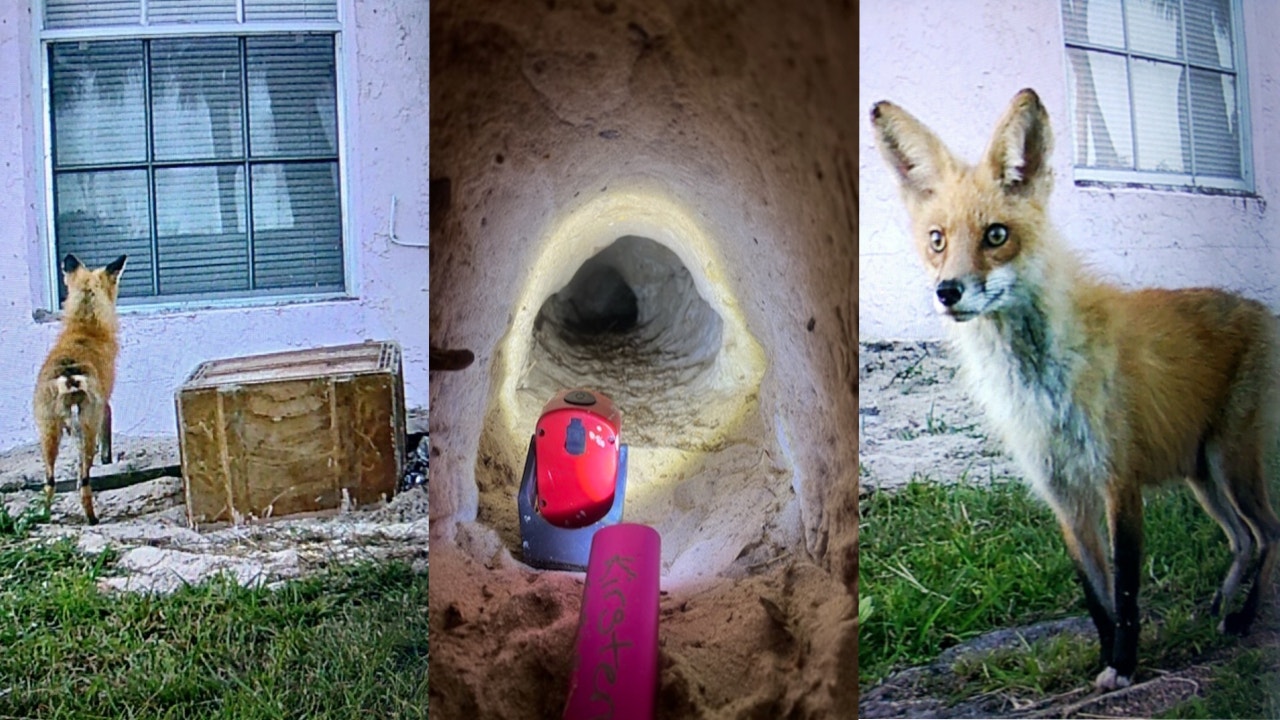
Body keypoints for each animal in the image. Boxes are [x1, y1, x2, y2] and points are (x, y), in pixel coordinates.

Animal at [34, 253, 127, 526]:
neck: (84, 328)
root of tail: (69, 373)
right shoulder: (104, 406)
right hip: (87, 425)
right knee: (85, 480)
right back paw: (92, 518)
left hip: (47, 431)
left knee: (49, 481)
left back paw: (44, 516)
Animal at [871, 88, 1280, 691]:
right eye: (937, 240)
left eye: (996, 235)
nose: (948, 292)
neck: (1039, 387)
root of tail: (1260, 309)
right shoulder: (1062, 493)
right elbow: (1096, 596)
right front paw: (1107, 657)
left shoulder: (1117, 479)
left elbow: (1127, 590)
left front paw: (1125, 666)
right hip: (1201, 473)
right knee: (1244, 538)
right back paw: (1218, 608)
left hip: (1230, 463)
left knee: (1271, 533)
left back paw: (1245, 617)